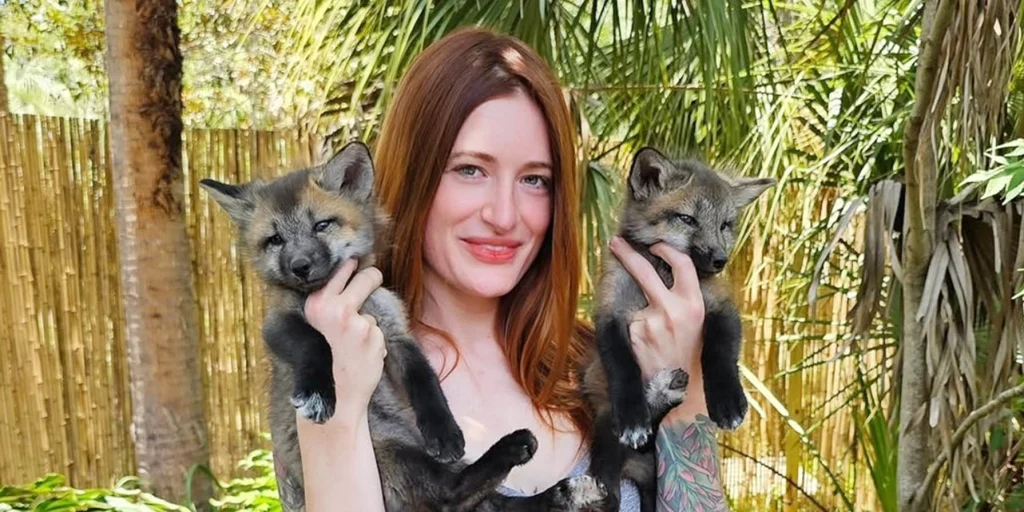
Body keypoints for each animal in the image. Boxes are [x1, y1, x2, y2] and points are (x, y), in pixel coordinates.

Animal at [199, 141, 607, 512]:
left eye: (321, 225)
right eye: (275, 240)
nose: (300, 266)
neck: (349, 300)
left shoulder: (395, 331)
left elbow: (425, 381)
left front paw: (444, 430)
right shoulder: (278, 323)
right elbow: (315, 344)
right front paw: (319, 392)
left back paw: (552, 488)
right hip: (393, 453)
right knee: (454, 497)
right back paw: (523, 458)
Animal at [581, 146, 776, 511]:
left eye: (725, 225)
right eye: (687, 219)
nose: (720, 260)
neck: (663, 272)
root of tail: (637, 466)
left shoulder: (718, 305)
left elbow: (720, 353)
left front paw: (728, 401)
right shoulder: (611, 311)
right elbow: (623, 367)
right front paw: (633, 416)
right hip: (603, 434)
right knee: (608, 487)